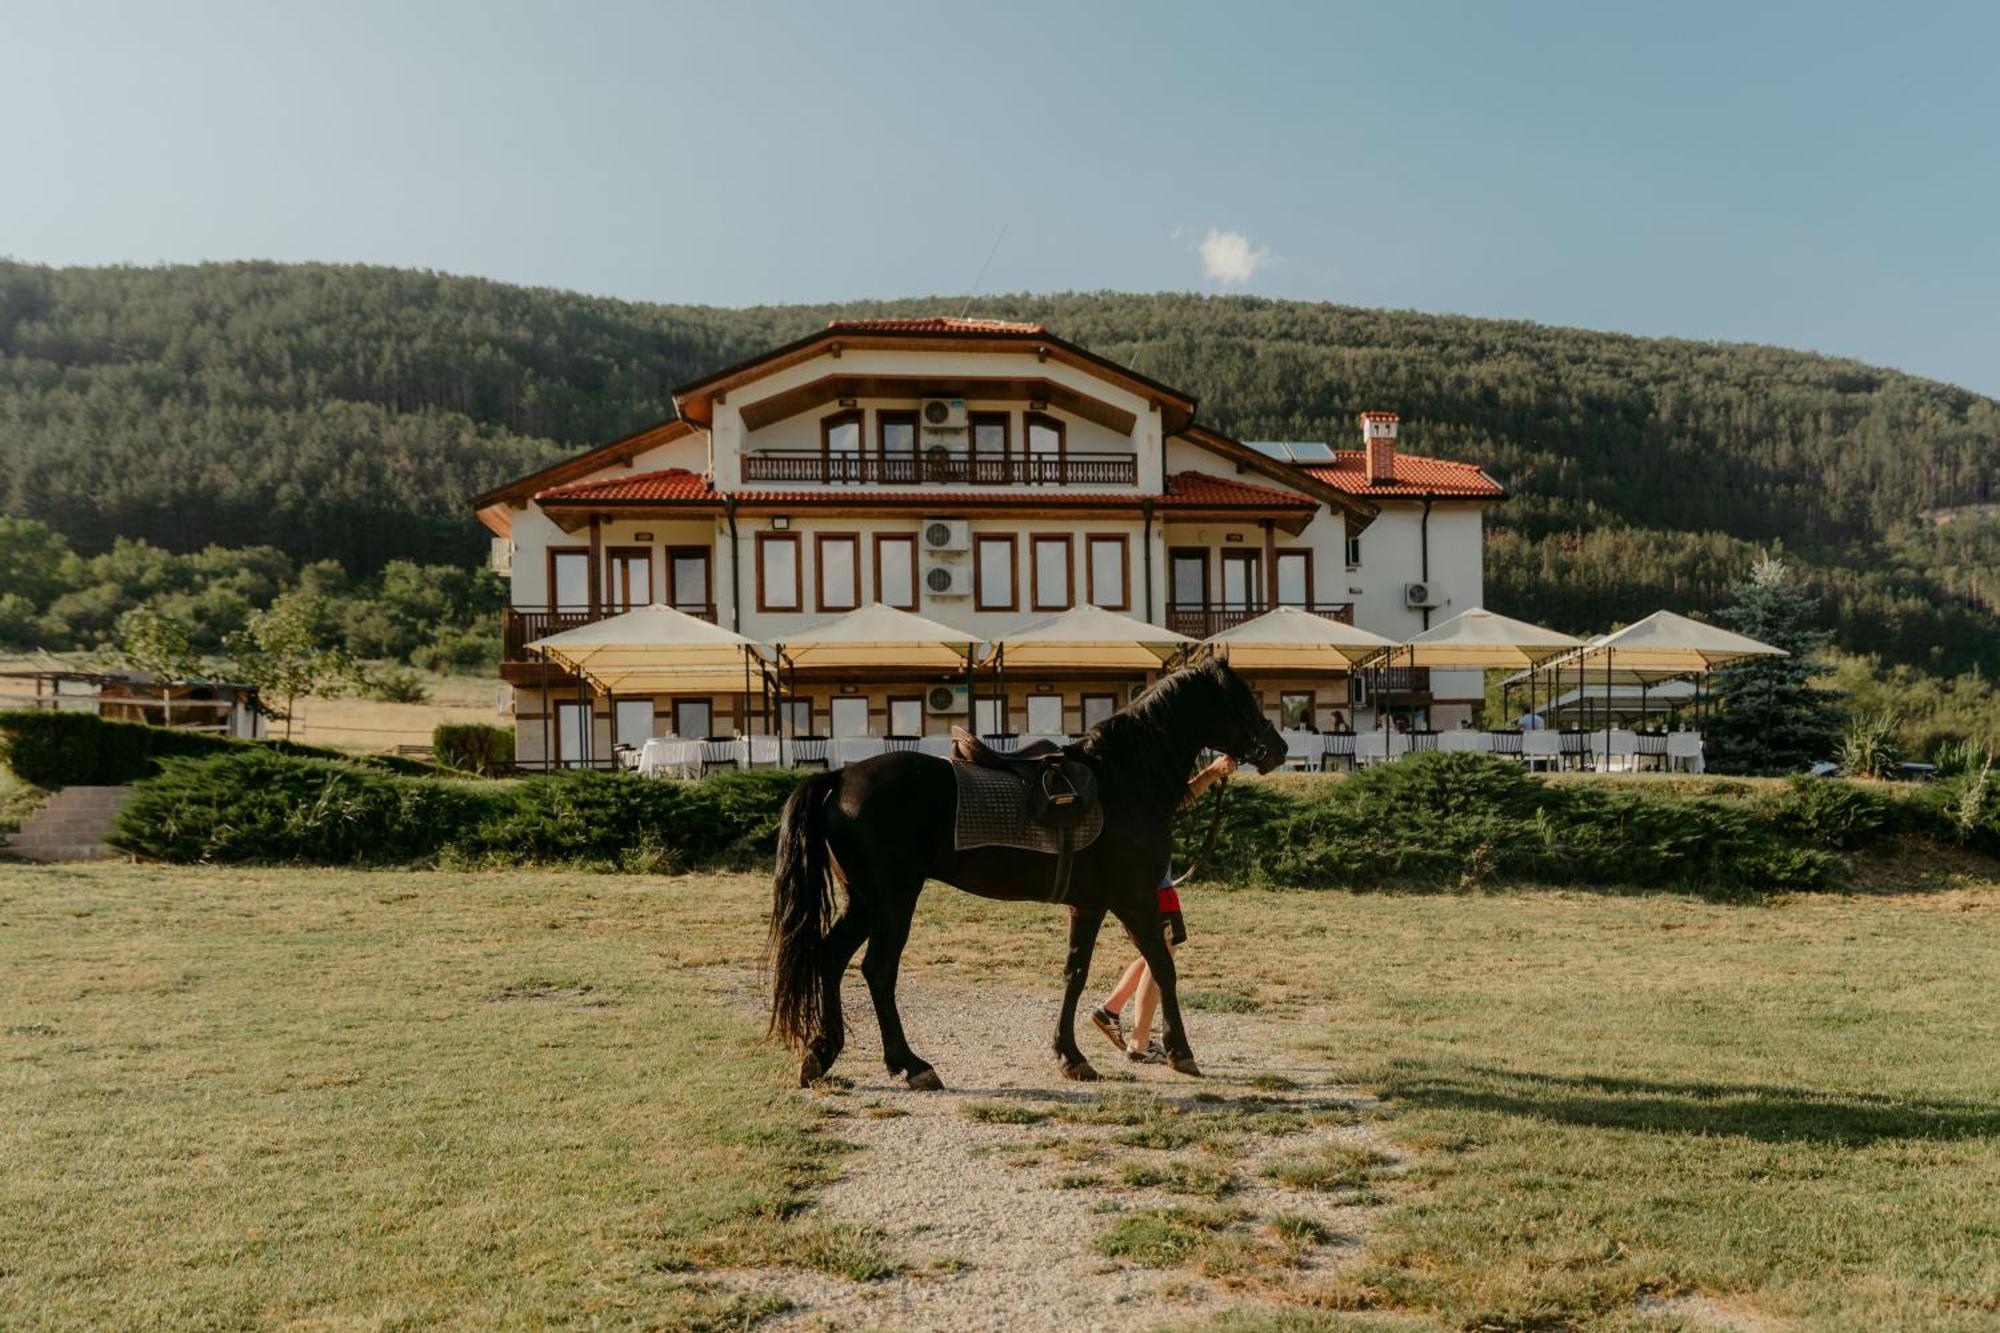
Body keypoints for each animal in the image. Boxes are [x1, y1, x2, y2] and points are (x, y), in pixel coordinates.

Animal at [764, 648, 1280, 1088]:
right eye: (1243, 700)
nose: (1276, 746)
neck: (1123, 780)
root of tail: (840, 777)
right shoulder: (1133, 900)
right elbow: (1162, 967)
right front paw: (1180, 1051)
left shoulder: (1088, 906)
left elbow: (1075, 973)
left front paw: (1071, 1056)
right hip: (893, 900)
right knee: (878, 969)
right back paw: (911, 1064)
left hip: (863, 901)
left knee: (831, 959)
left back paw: (822, 1054)